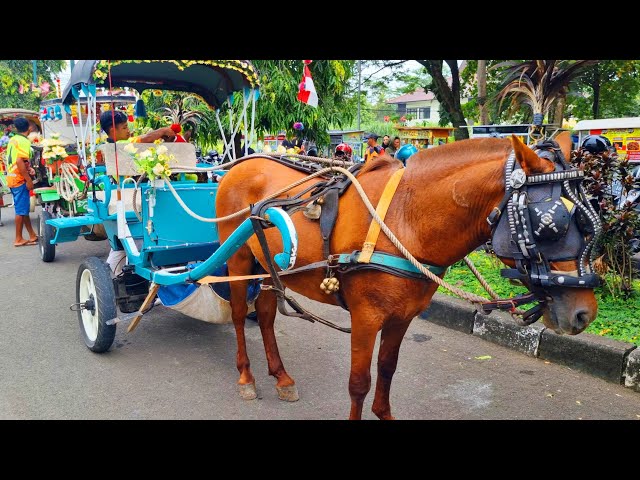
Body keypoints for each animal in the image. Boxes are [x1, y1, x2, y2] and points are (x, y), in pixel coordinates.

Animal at [215, 132, 600, 420]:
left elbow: (387, 369)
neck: (404, 219)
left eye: (588, 221)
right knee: (240, 314)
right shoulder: (366, 317)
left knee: (266, 316)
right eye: (550, 223)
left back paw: (281, 377)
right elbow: (359, 382)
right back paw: (246, 376)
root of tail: (242, 165)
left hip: (268, 265)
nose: (584, 313)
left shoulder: (402, 316)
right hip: (238, 261)